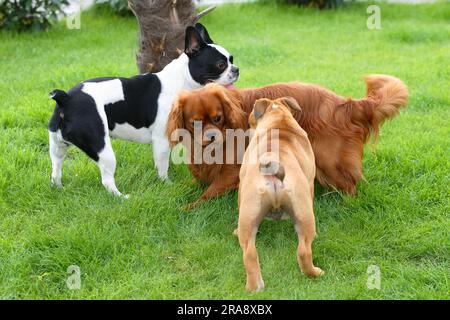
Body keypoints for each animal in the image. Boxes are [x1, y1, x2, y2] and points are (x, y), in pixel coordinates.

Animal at [237, 97, 322, 292]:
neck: (278, 119)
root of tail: (273, 165)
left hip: (249, 215)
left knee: (249, 252)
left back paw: (253, 287)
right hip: (303, 211)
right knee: (304, 250)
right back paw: (313, 272)